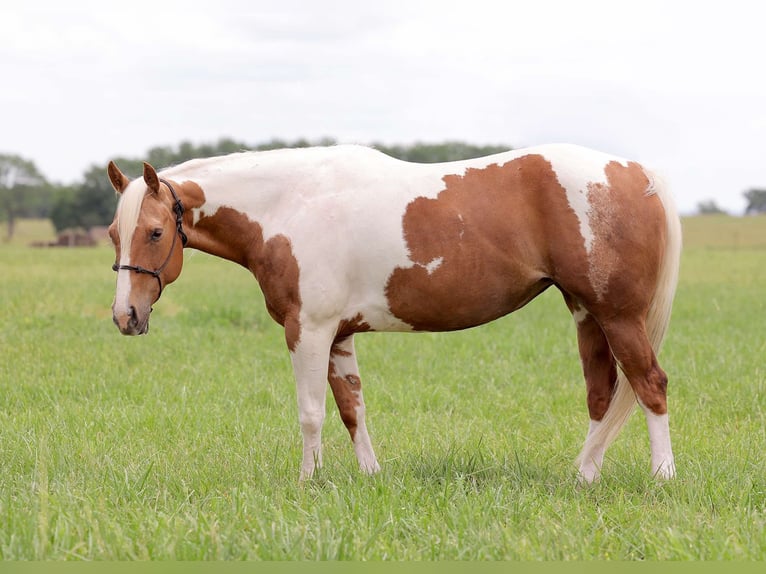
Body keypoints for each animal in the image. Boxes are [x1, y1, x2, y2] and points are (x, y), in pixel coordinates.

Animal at [106, 144, 684, 486]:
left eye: (154, 231)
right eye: (115, 233)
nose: (125, 315)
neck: (291, 204)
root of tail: (637, 170)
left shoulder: (308, 330)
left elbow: (311, 412)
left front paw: (308, 482)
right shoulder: (338, 335)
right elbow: (351, 409)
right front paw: (368, 475)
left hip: (619, 315)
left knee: (649, 384)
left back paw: (662, 477)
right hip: (587, 312)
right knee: (602, 392)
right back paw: (584, 476)